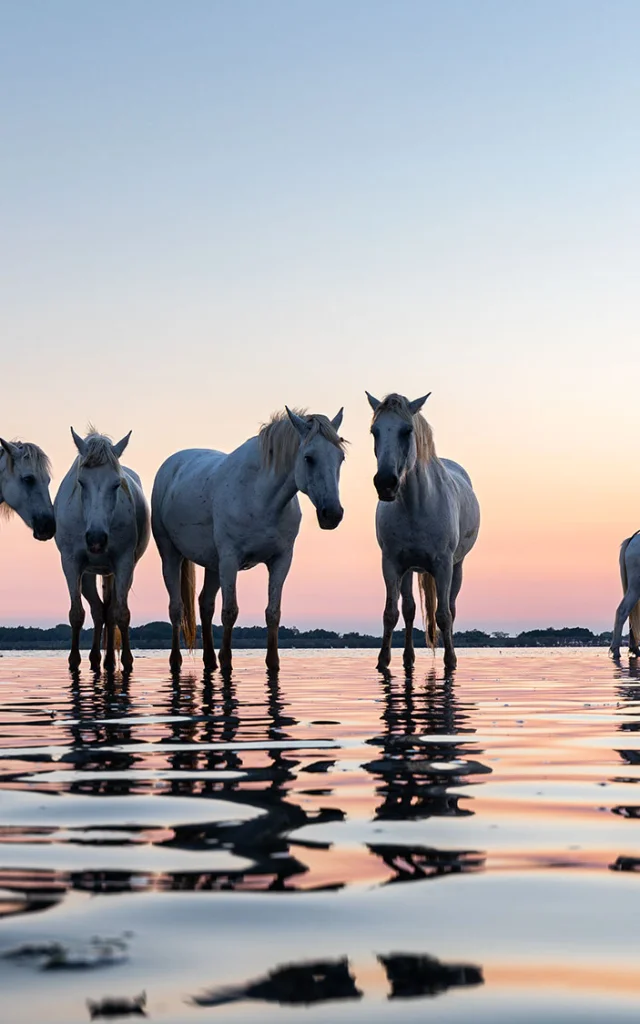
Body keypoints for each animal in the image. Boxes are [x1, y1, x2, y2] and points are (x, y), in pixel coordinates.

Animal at [54, 430, 150, 675]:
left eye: (116, 484)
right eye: (81, 482)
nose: (96, 539)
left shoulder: (124, 563)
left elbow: (121, 613)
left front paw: (127, 661)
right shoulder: (71, 563)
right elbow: (76, 614)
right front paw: (73, 661)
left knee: (110, 610)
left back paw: (107, 662)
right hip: (88, 574)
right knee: (98, 610)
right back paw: (97, 659)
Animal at [150, 403, 344, 675]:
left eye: (340, 458)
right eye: (309, 457)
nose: (332, 514)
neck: (261, 496)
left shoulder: (281, 560)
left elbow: (273, 612)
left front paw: (273, 663)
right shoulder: (230, 559)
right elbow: (230, 611)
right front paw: (227, 661)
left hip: (213, 564)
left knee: (205, 604)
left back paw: (209, 661)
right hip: (171, 555)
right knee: (176, 608)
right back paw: (176, 660)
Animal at [366, 395, 477, 675]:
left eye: (407, 431)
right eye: (375, 431)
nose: (385, 482)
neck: (415, 505)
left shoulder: (443, 565)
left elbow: (444, 615)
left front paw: (451, 661)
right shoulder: (392, 564)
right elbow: (391, 613)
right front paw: (383, 661)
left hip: (456, 567)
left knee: (451, 608)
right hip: (409, 570)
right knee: (409, 610)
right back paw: (408, 658)